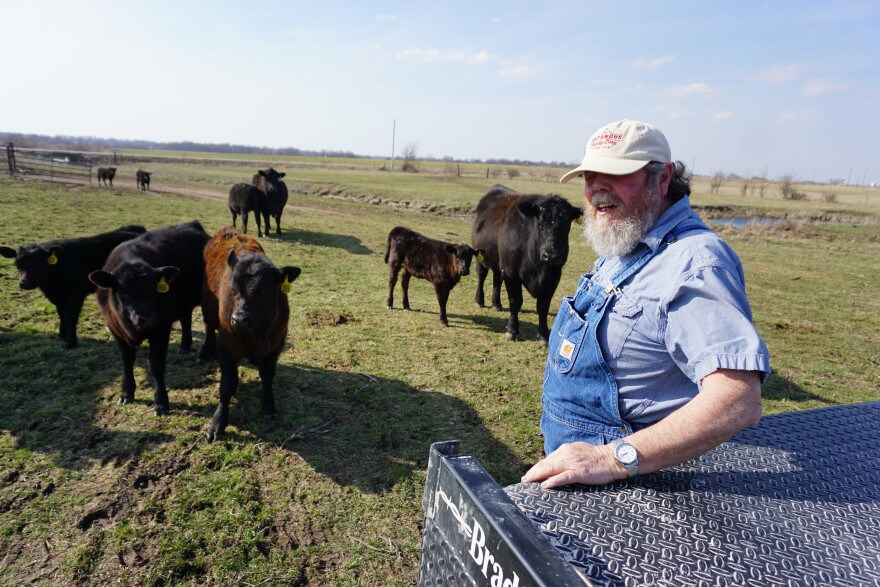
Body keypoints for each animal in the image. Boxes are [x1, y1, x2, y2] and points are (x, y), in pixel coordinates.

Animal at [0, 225, 144, 350]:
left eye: (40, 263)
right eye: (17, 263)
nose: (25, 283)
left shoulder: (75, 293)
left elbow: (71, 315)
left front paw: (71, 341)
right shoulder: (58, 296)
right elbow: (61, 314)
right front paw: (61, 334)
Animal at [88, 218, 211, 416]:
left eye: (155, 289)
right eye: (123, 292)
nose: (148, 319)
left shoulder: (162, 328)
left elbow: (155, 364)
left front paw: (161, 402)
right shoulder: (116, 329)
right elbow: (127, 360)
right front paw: (126, 393)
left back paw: (205, 354)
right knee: (186, 318)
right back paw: (184, 346)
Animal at [200, 225, 302, 440]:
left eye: (263, 289)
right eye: (232, 288)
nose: (238, 319)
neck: (257, 334)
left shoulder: (277, 343)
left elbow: (267, 374)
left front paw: (268, 406)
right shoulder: (226, 345)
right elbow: (228, 383)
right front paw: (218, 422)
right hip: (206, 306)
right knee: (208, 326)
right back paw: (204, 353)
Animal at [470, 185, 580, 344]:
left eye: (566, 227)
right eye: (540, 225)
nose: (550, 256)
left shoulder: (554, 276)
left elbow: (543, 306)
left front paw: (543, 335)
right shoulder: (511, 272)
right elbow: (515, 301)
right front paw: (512, 331)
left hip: (499, 261)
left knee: (497, 279)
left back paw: (497, 304)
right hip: (481, 256)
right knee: (481, 275)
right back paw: (479, 300)